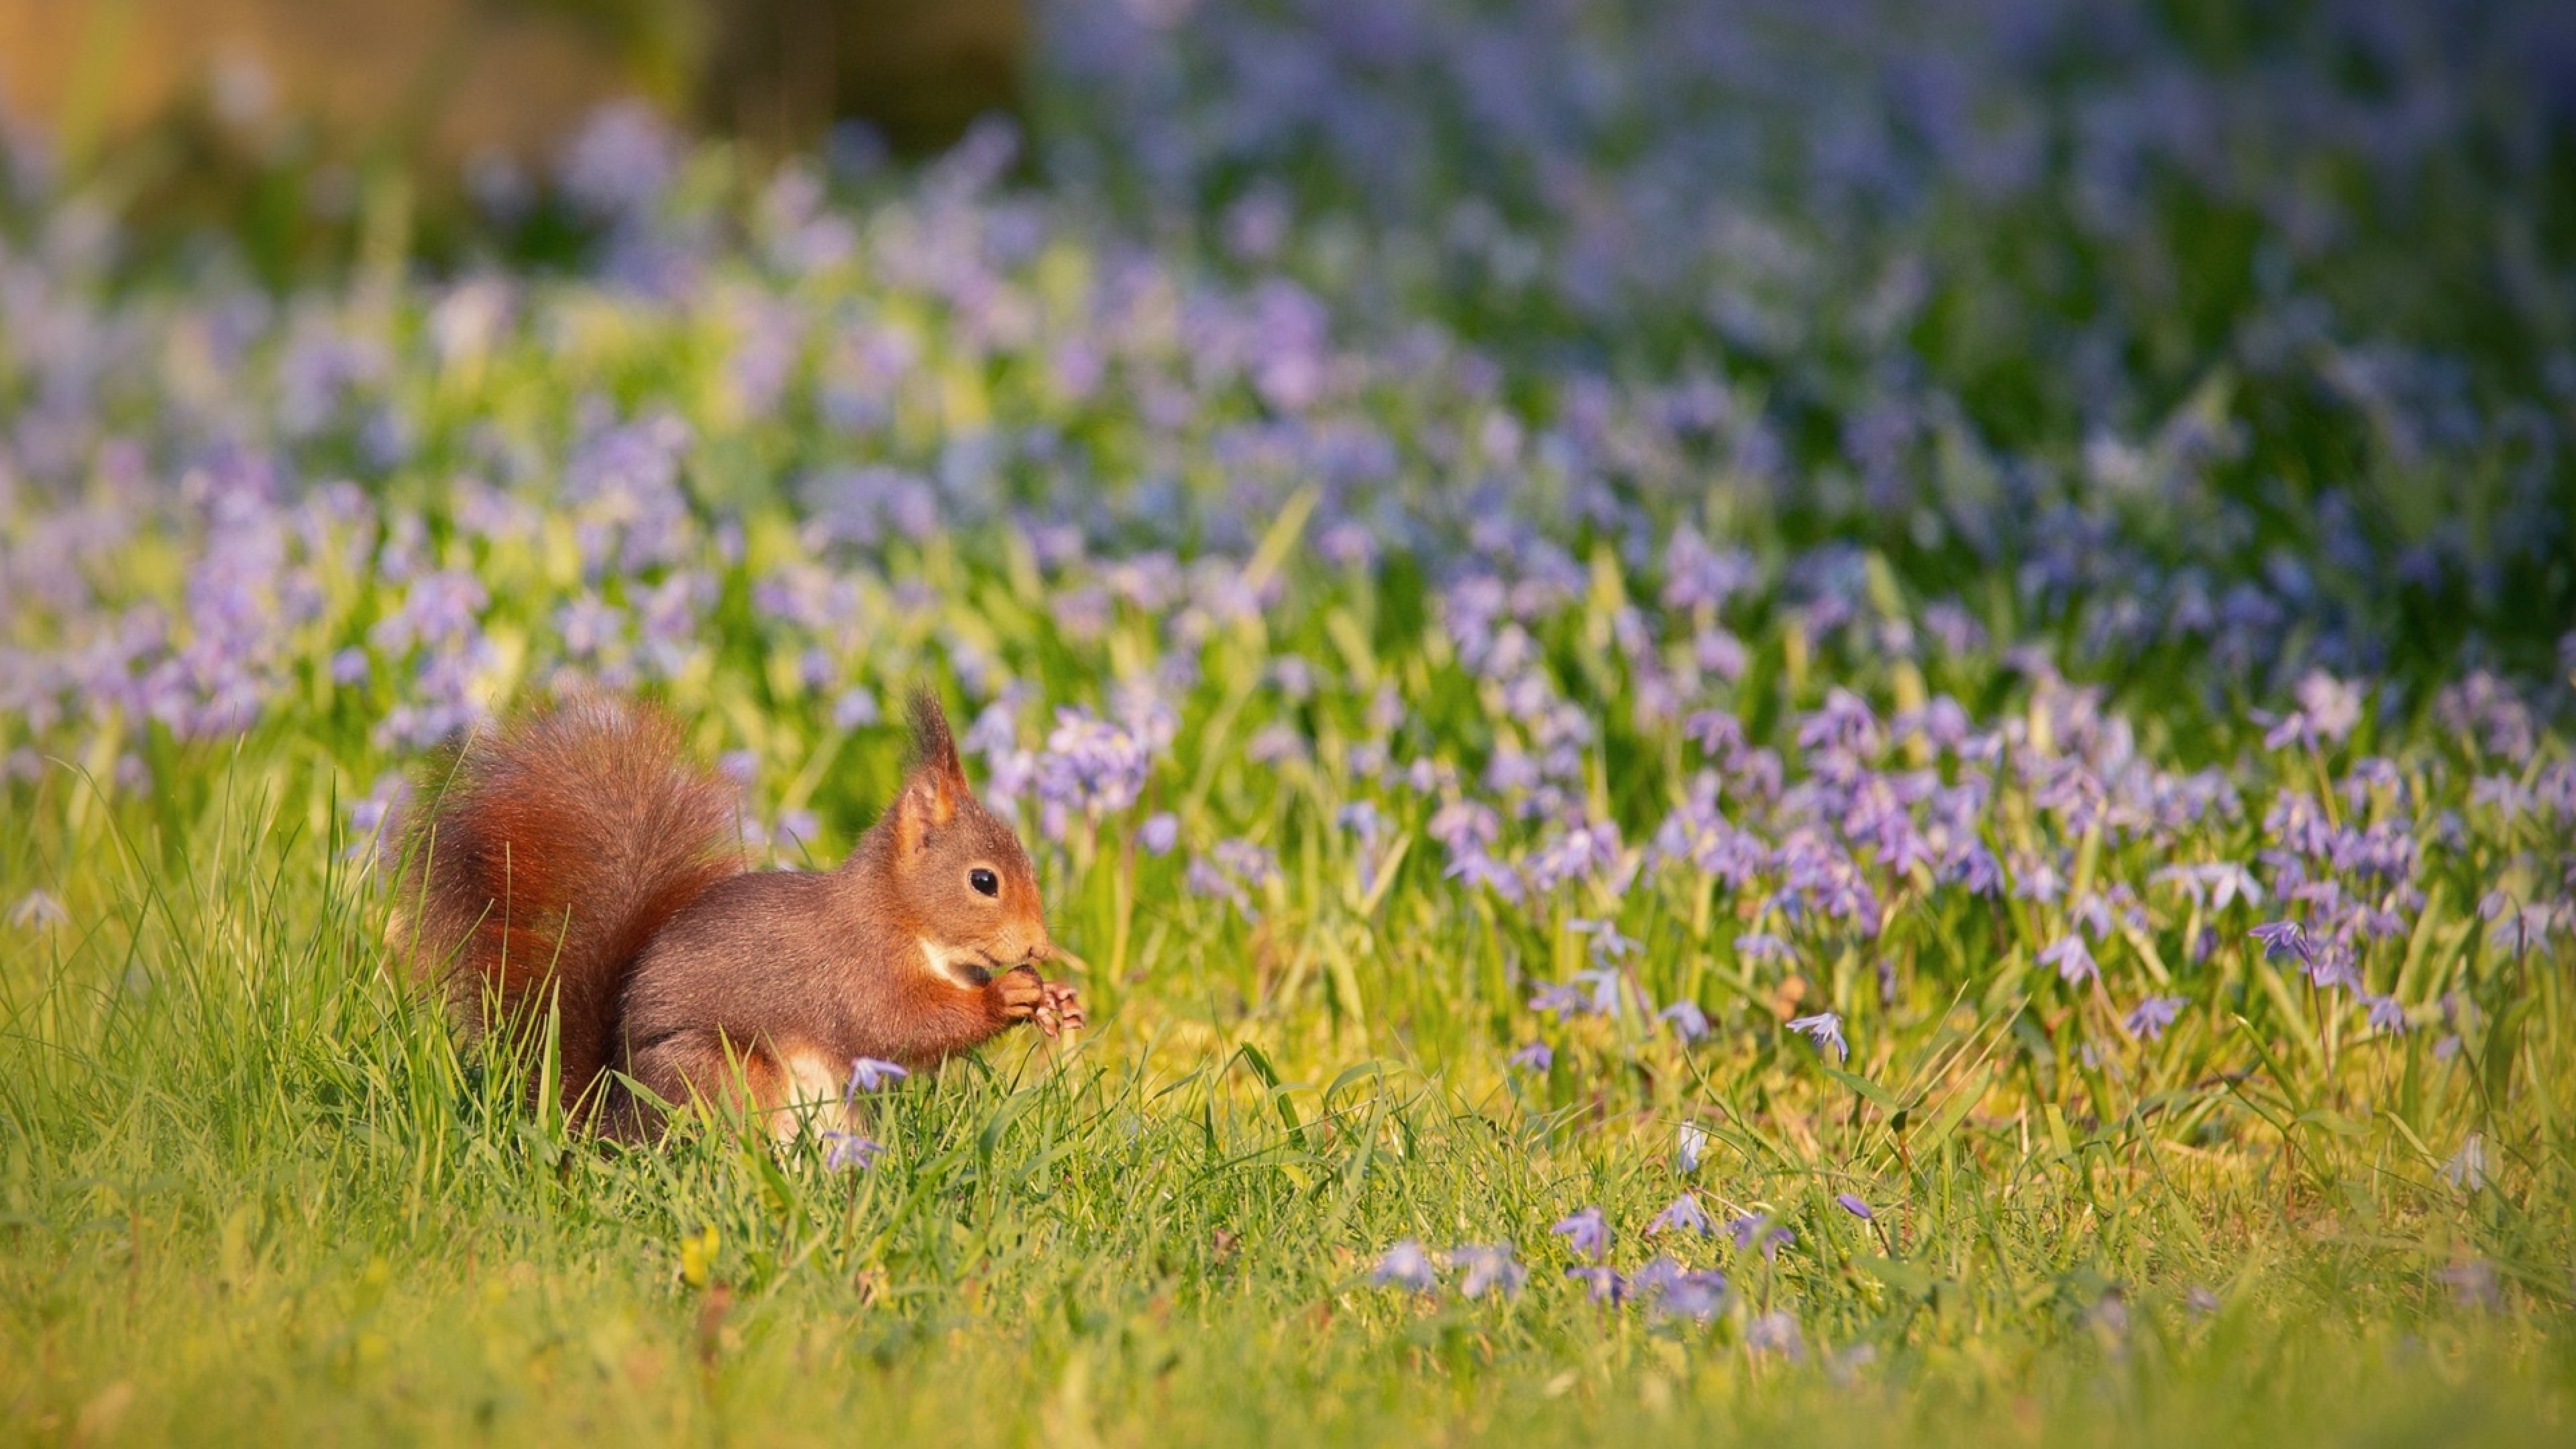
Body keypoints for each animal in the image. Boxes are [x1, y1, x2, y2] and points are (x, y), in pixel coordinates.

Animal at [394, 686, 1087, 1139]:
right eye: (983, 881)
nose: (1039, 945)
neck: (910, 923)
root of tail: (608, 1129)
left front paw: (1056, 999)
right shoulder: (855, 967)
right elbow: (898, 1024)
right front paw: (1008, 997)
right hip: (724, 1076)